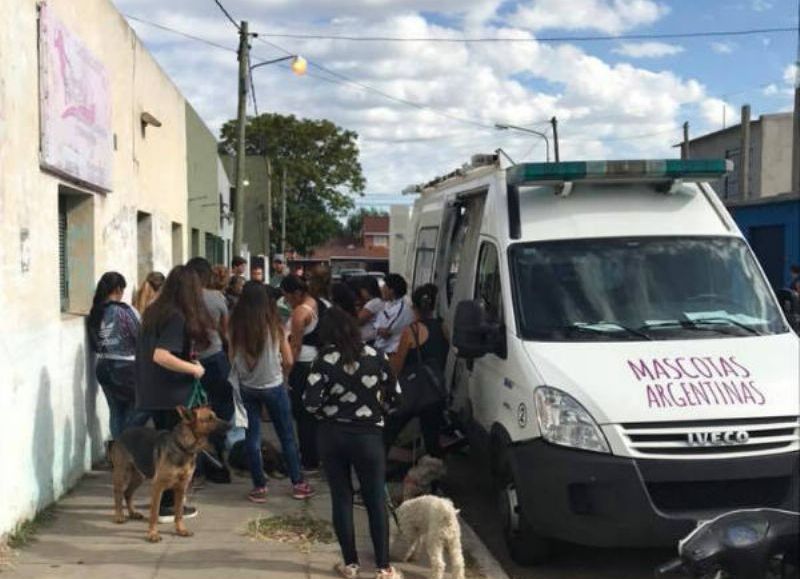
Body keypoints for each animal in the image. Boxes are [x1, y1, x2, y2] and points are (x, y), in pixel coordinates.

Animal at [109, 408, 230, 544]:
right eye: (209, 418)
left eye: (215, 416)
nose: (230, 425)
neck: (182, 446)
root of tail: (123, 433)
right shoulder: (158, 487)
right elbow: (154, 514)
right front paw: (152, 534)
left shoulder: (181, 487)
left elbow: (179, 513)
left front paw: (181, 530)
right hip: (122, 473)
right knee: (118, 493)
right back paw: (119, 515)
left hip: (139, 476)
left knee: (128, 493)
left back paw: (133, 513)